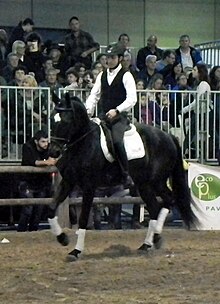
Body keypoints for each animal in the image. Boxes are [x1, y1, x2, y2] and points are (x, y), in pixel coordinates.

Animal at [47, 95, 198, 262]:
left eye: (66, 121)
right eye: (52, 119)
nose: (53, 151)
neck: (83, 144)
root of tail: (168, 136)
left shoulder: (89, 187)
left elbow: (83, 218)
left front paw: (76, 251)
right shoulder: (68, 182)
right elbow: (51, 208)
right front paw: (62, 238)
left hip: (155, 181)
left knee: (166, 201)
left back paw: (156, 238)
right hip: (144, 184)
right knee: (156, 207)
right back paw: (147, 244)